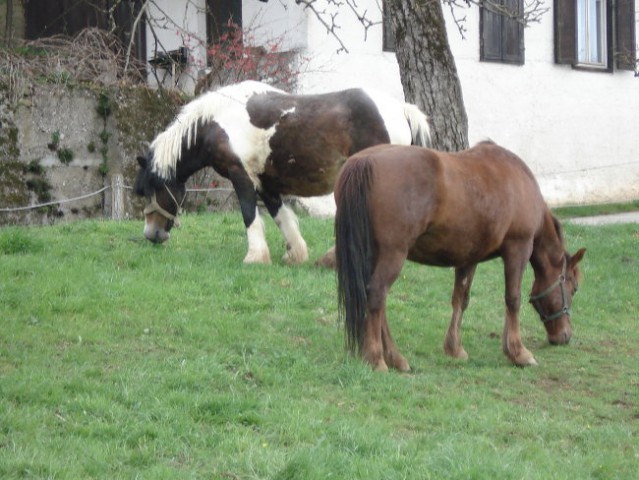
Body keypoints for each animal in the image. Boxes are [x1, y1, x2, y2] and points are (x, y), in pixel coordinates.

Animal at [338, 142, 588, 372]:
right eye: (573, 288)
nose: (565, 335)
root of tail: (364, 161)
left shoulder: (469, 258)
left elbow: (461, 299)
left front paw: (454, 348)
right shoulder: (518, 248)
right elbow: (513, 299)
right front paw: (518, 352)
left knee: (378, 302)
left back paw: (395, 358)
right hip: (393, 254)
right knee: (376, 295)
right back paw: (377, 359)